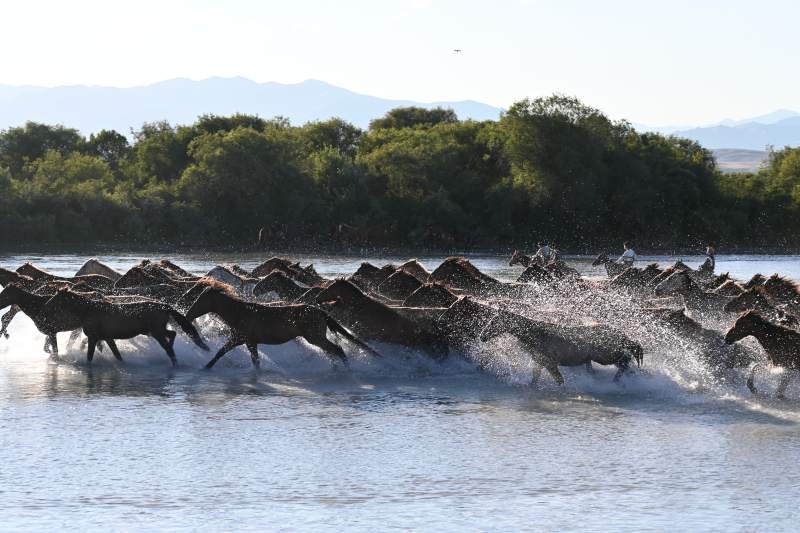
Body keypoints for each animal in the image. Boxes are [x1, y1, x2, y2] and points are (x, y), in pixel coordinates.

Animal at [44, 288, 208, 366]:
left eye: (55, 298)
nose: (46, 305)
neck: (88, 310)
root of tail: (164, 306)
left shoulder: (93, 337)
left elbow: (90, 356)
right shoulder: (107, 337)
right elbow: (117, 355)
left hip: (156, 332)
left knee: (169, 349)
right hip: (154, 331)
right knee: (172, 334)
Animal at [185, 283, 380, 369]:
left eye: (201, 299)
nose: (188, 314)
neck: (240, 313)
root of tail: (321, 312)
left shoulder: (243, 340)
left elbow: (225, 354)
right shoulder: (244, 341)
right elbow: (223, 353)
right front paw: (206, 367)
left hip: (315, 337)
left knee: (337, 349)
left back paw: (347, 370)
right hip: (316, 338)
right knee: (332, 352)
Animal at [479, 311, 643, 385]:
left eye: (494, 322)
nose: (482, 336)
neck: (537, 334)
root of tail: (622, 335)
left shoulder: (550, 364)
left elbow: (560, 381)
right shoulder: (540, 363)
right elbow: (534, 381)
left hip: (605, 356)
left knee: (625, 362)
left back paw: (617, 381)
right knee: (626, 363)